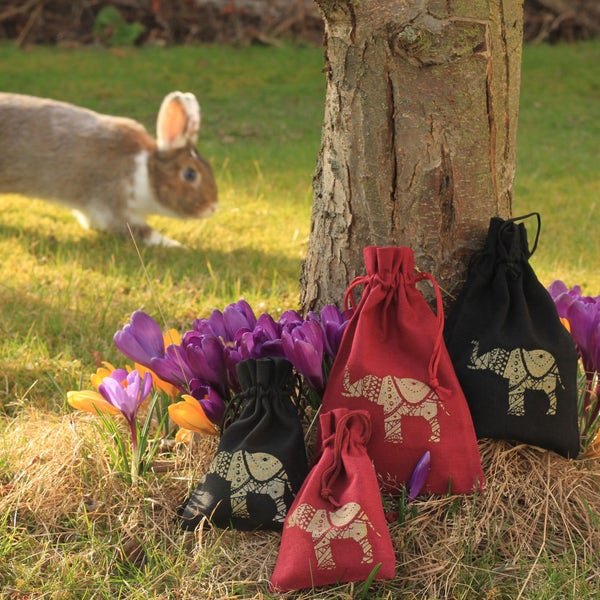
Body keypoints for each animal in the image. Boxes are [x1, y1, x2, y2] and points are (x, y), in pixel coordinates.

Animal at [0, 91, 218, 246]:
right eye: (190, 174)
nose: (213, 207)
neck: (146, 172)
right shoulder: (116, 206)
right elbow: (145, 233)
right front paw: (178, 245)